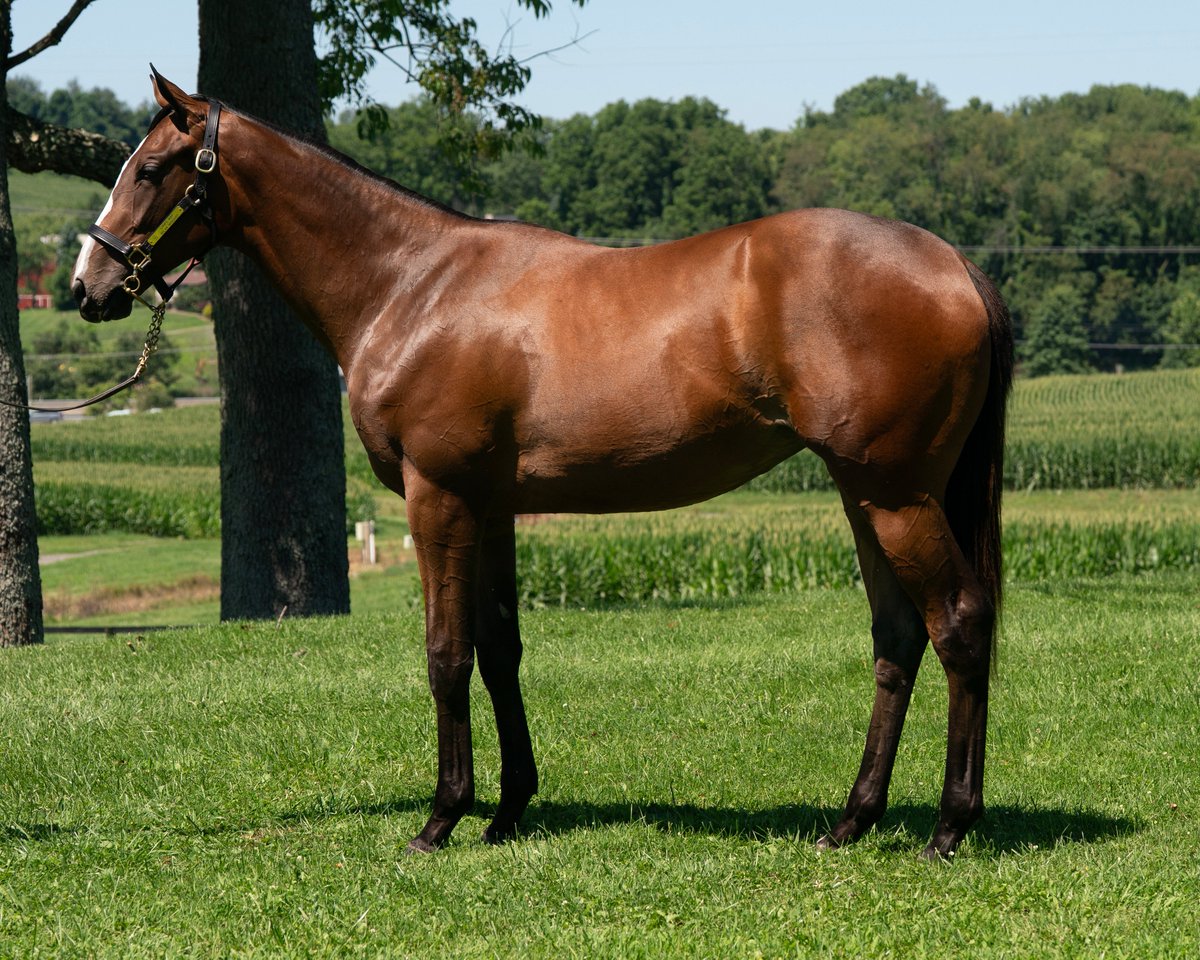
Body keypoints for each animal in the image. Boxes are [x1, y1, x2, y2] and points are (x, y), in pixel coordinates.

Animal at [73, 71, 1013, 859]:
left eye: (150, 168)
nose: (88, 286)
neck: (412, 286)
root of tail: (954, 263)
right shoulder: (491, 507)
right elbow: (500, 650)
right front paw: (507, 811)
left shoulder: (438, 497)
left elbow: (446, 652)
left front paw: (442, 817)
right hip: (867, 495)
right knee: (899, 638)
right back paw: (852, 821)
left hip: (896, 495)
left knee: (959, 624)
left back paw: (948, 827)